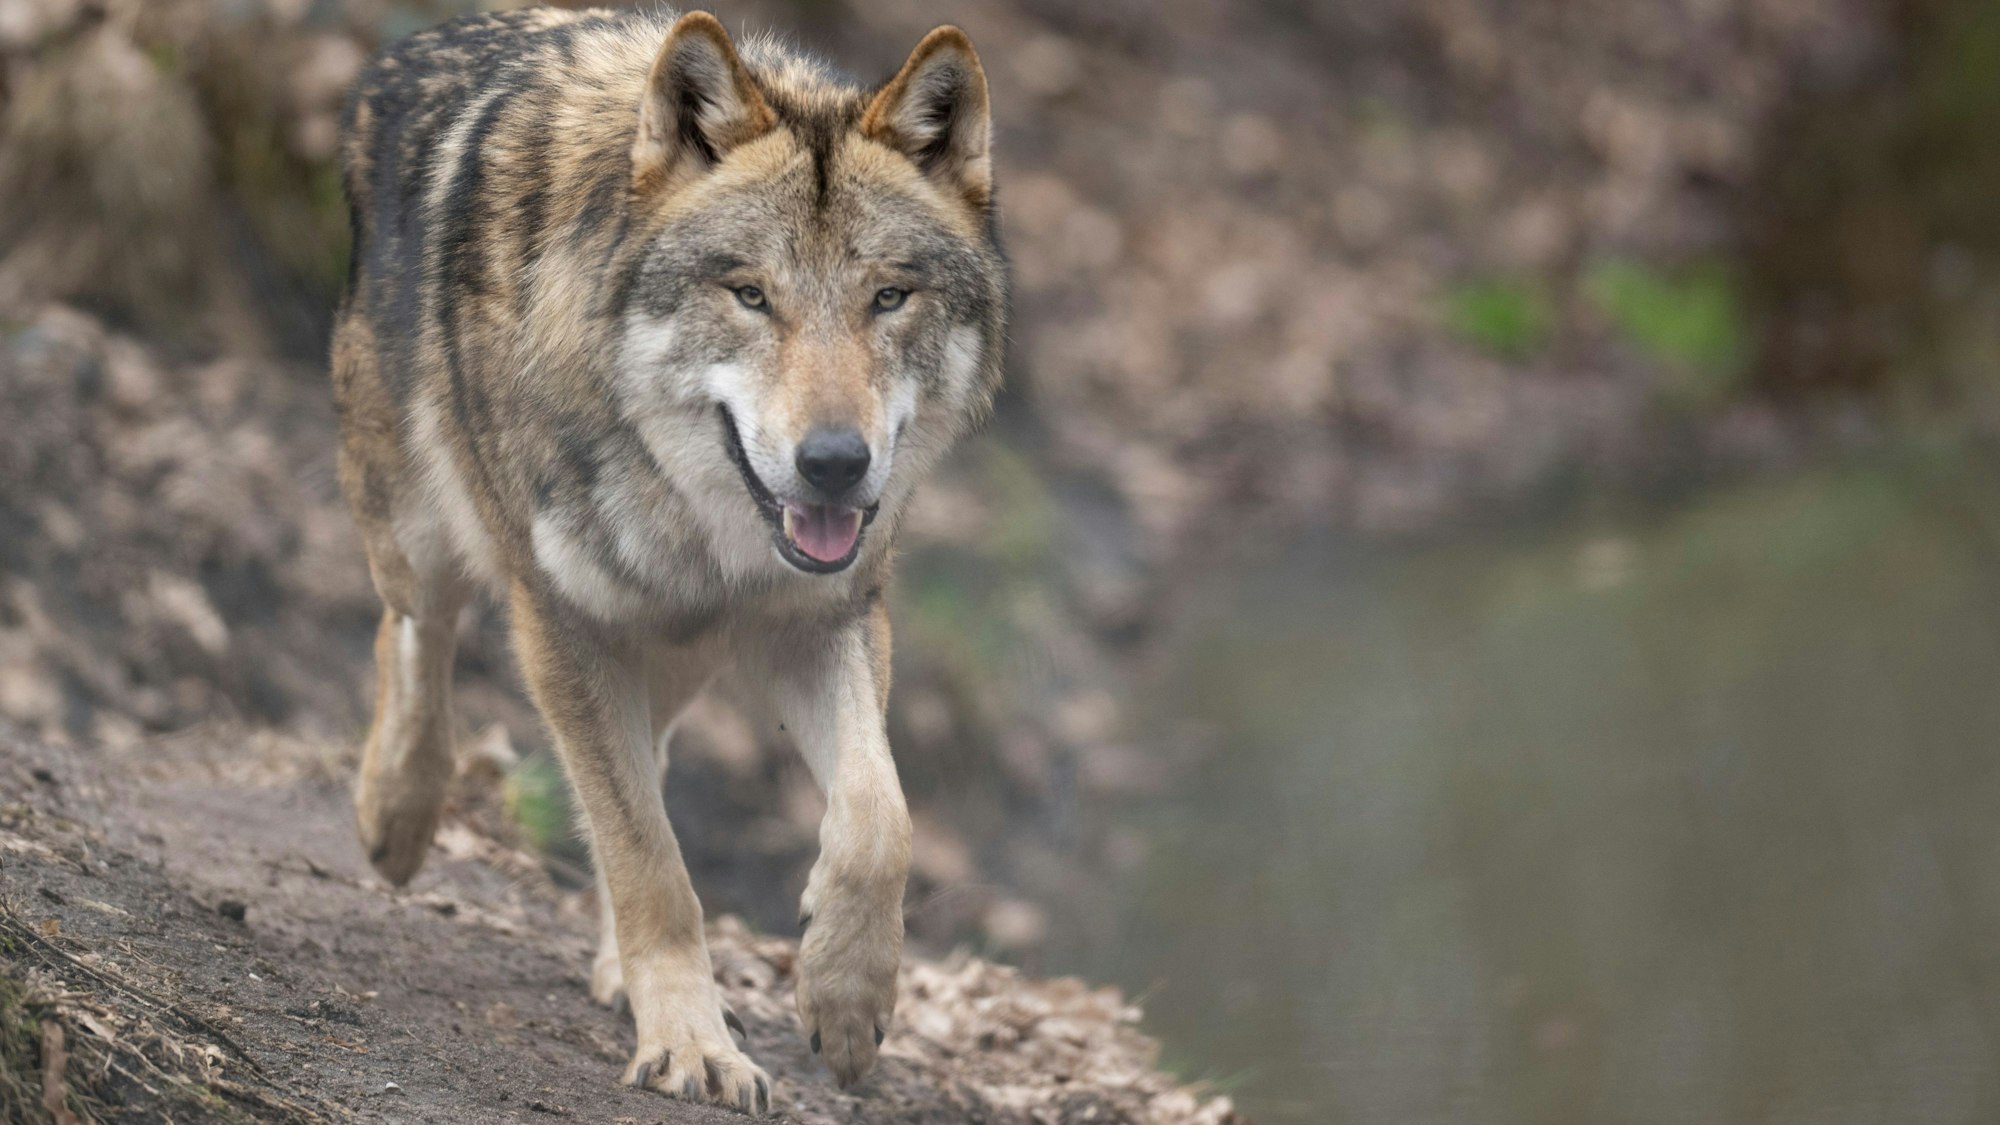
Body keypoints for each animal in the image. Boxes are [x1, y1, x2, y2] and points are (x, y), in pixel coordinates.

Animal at [330, 6, 1005, 1111]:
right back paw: (396, 811)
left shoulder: (825, 620)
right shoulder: (562, 628)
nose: (833, 464)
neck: (705, 525)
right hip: (420, 531)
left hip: (677, 650)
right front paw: (694, 1043)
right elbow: (648, 857)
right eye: (750, 295)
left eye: (888, 298)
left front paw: (844, 998)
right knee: (414, 635)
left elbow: (878, 816)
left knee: (650, 752)